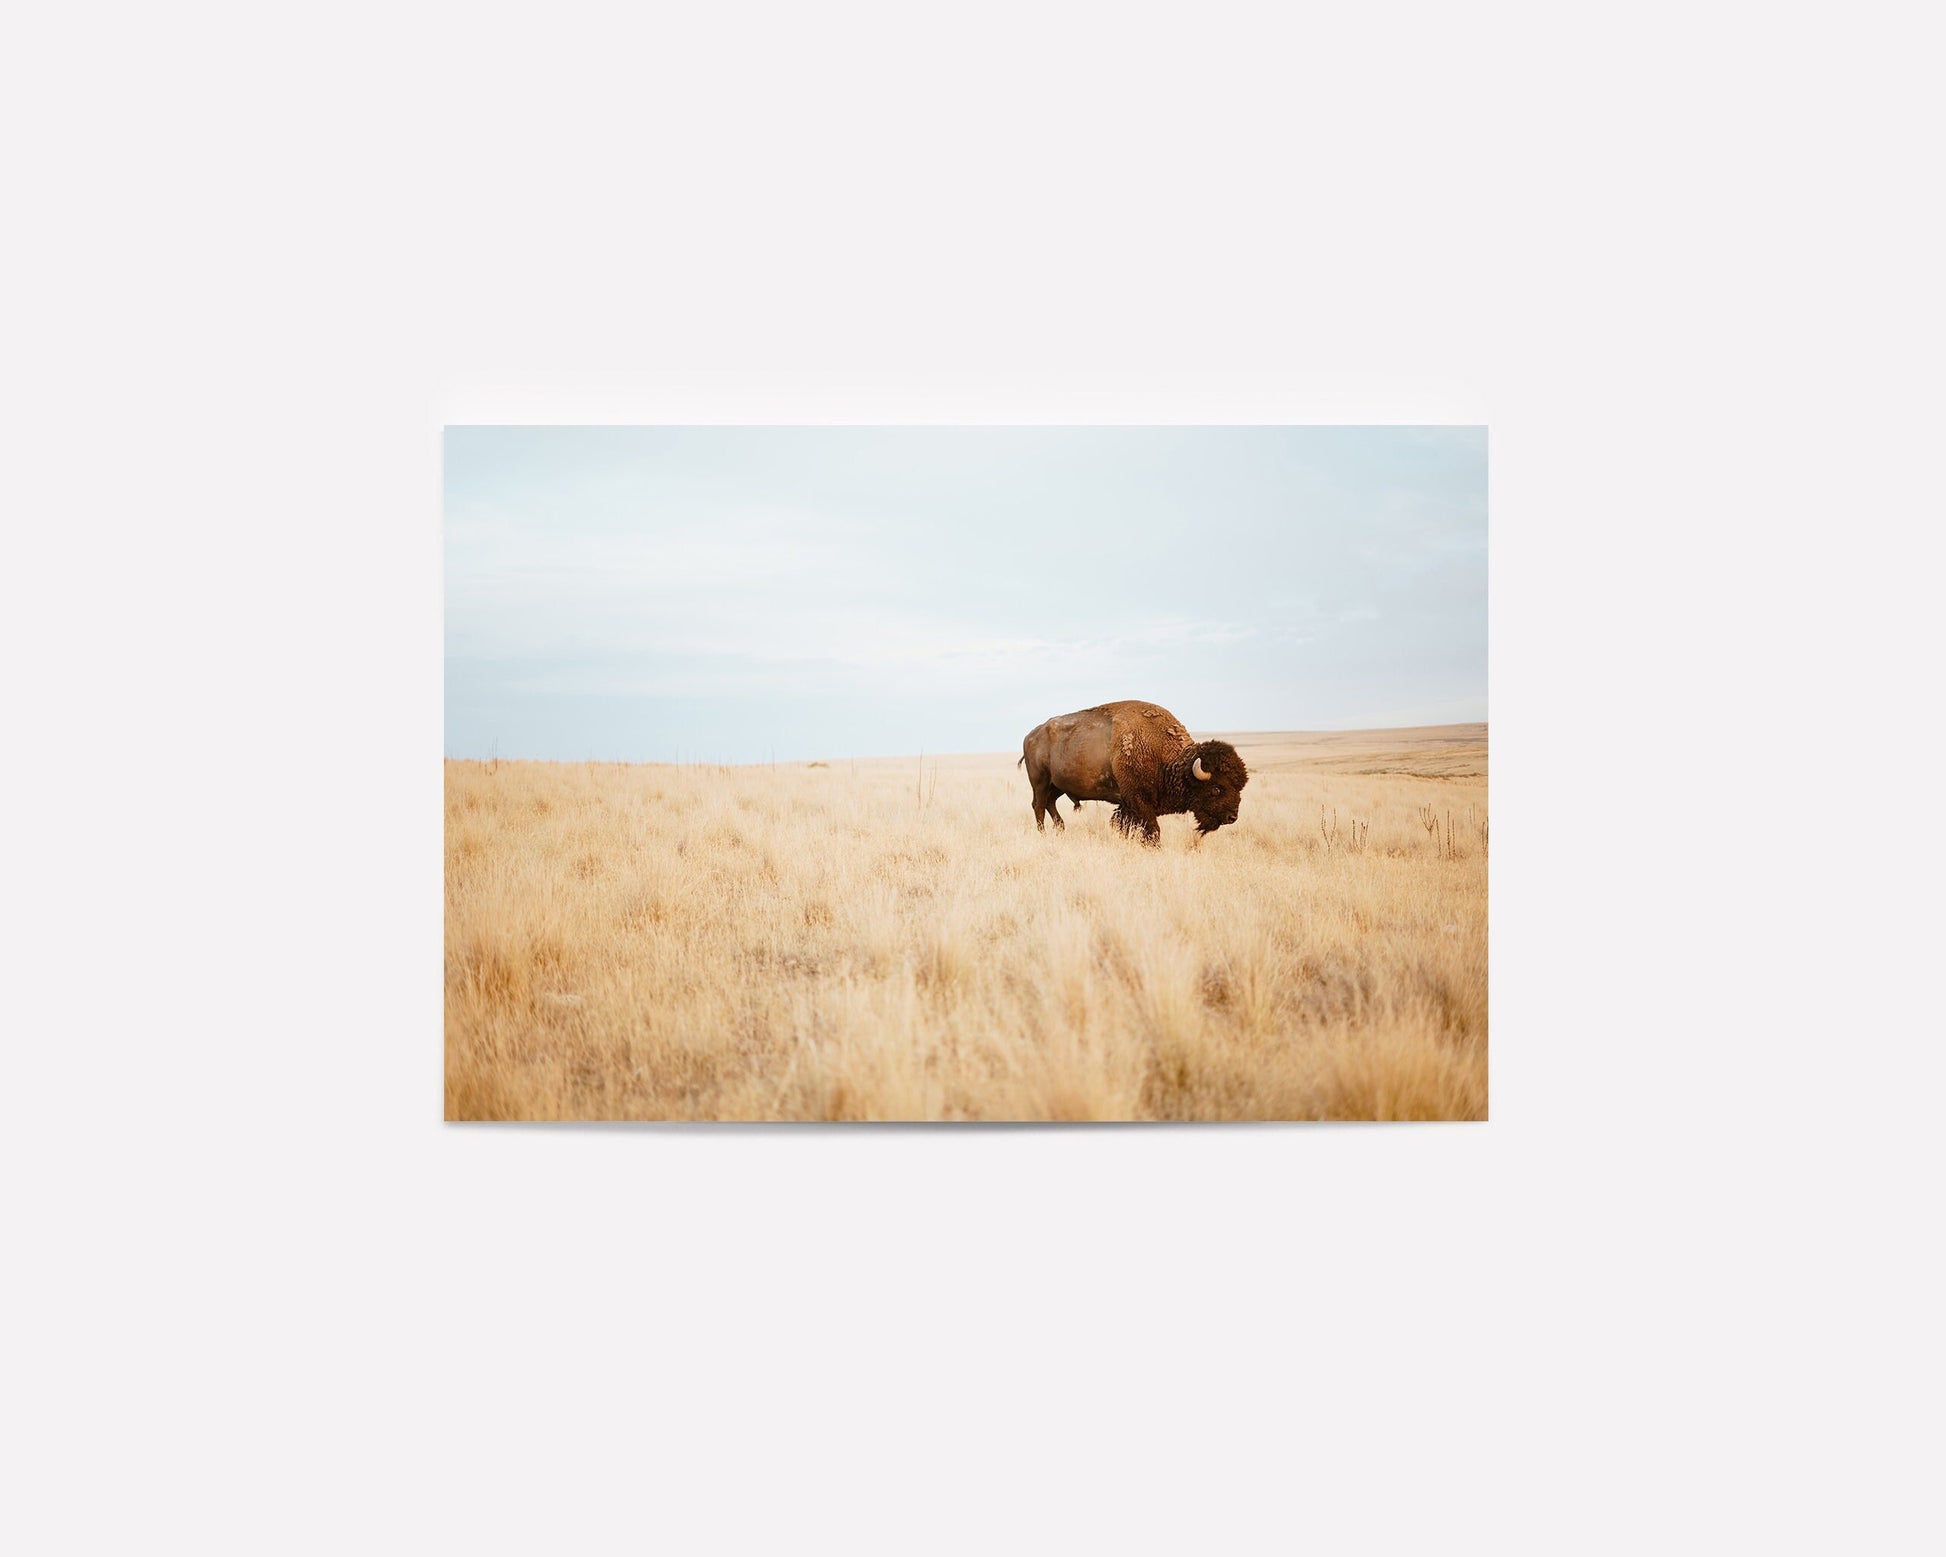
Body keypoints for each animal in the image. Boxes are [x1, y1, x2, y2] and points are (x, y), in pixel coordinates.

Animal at [1019, 700, 1245, 844]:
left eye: (1240, 787)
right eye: (1216, 788)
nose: (1232, 817)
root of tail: (1030, 735)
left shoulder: (1128, 805)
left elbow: (1124, 825)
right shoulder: (1139, 800)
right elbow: (1152, 830)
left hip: (1057, 786)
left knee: (1050, 804)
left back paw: (1060, 829)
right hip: (1040, 782)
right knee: (1039, 806)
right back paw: (1044, 834)